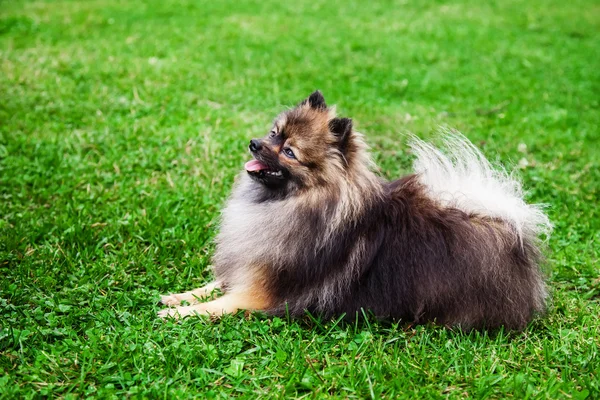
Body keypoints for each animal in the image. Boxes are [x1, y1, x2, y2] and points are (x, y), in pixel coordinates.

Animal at [157, 92, 552, 330]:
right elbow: (214, 285)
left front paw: (177, 312)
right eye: (273, 133)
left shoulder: (261, 293)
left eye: (290, 152)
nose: (254, 143)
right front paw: (178, 296)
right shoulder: (252, 265)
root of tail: (506, 224)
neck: (288, 204)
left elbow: (219, 304)